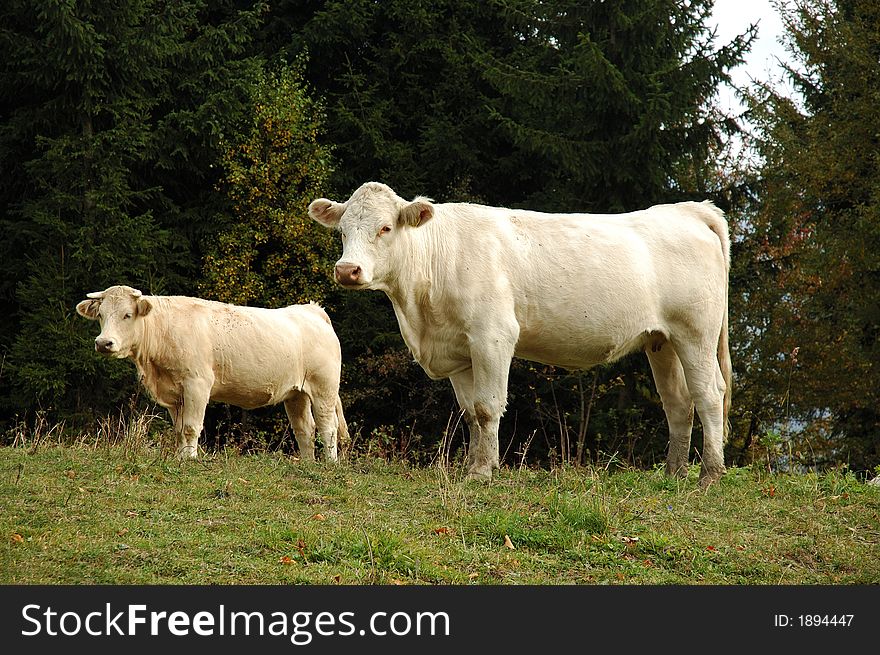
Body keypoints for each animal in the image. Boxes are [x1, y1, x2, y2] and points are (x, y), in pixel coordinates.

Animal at [75, 286, 348, 462]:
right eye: (100, 315)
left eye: (127, 314)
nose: (103, 343)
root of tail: (311, 310)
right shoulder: (174, 394)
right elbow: (178, 429)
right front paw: (179, 457)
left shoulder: (197, 384)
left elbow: (190, 427)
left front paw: (191, 459)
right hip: (296, 394)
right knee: (305, 430)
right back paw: (309, 464)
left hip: (324, 388)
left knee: (328, 427)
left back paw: (330, 464)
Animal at [310, 182, 728, 484]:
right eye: (342, 231)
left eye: (385, 228)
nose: (347, 270)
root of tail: (688, 209)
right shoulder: (460, 352)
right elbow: (471, 413)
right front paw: (475, 464)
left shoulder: (493, 336)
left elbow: (488, 405)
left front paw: (482, 473)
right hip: (662, 341)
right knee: (678, 403)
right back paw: (674, 473)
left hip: (696, 333)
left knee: (709, 395)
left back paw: (709, 474)